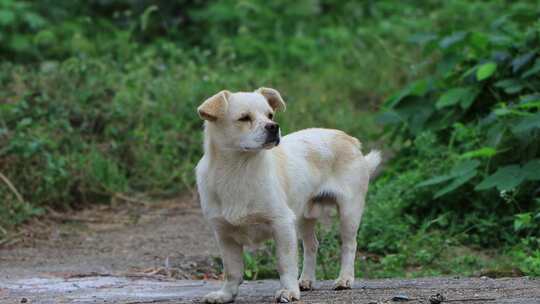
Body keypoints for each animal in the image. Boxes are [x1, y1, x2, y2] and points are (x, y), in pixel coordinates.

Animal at [196, 87, 382, 302]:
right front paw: (226, 294)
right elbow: (232, 271)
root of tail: (350, 140)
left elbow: (285, 264)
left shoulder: (282, 224)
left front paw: (289, 291)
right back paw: (307, 280)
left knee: (349, 245)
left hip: (349, 213)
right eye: (244, 118)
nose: (274, 127)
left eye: (270, 115)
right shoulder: (225, 235)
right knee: (312, 245)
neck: (238, 170)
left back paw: (345, 279)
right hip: (303, 217)